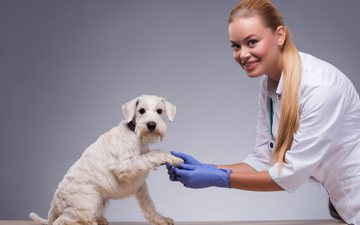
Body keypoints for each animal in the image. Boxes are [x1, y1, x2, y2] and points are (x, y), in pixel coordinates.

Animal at [28, 95, 183, 225]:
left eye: (159, 111)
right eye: (141, 110)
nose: (151, 125)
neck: (134, 133)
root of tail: (55, 205)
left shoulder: (140, 184)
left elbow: (148, 204)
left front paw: (160, 219)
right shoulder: (125, 166)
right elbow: (153, 154)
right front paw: (174, 158)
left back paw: (100, 220)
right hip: (88, 201)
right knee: (63, 221)